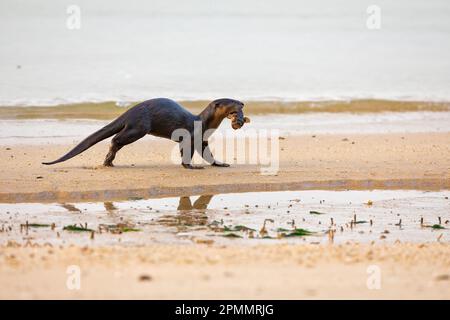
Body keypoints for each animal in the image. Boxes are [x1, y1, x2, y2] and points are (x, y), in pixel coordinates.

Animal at [41, 97, 250, 169]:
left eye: (238, 103)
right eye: (232, 103)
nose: (242, 103)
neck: (203, 124)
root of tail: (130, 111)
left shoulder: (202, 141)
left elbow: (208, 155)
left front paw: (220, 163)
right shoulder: (189, 138)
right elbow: (186, 153)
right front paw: (191, 166)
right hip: (139, 127)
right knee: (116, 139)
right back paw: (108, 161)